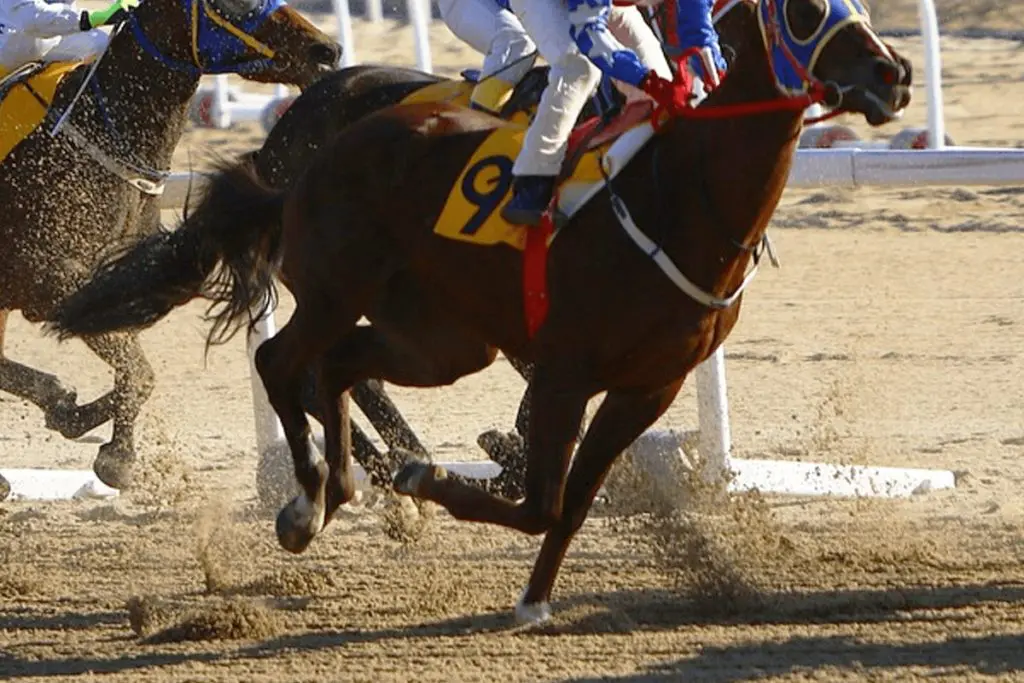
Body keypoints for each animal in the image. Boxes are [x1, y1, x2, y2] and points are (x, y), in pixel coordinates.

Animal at [0, 0, 339, 491]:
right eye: (232, 2)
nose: (326, 50)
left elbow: (134, 369)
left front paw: (76, 414)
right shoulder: (48, 281)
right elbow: (138, 372)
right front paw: (117, 457)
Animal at [49, 0, 757, 501]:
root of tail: (288, 126)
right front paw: (504, 453)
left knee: (336, 367)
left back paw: (400, 463)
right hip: (343, 276)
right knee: (321, 366)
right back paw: (396, 469)